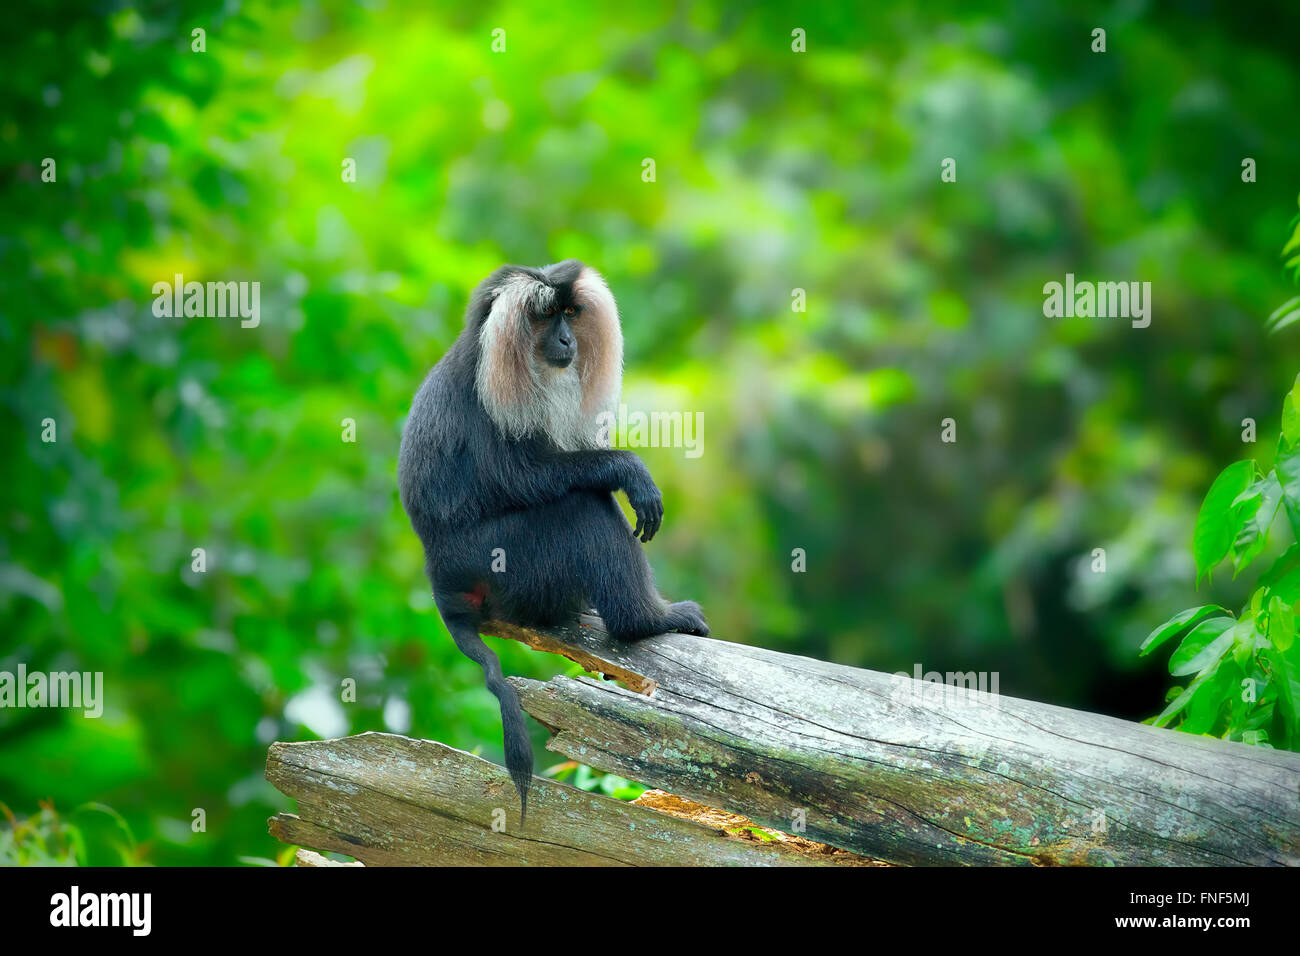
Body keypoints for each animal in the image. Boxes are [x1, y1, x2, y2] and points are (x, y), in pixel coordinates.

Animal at [397, 259, 708, 825]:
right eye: (545, 317)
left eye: (570, 314)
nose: (566, 340)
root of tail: (441, 582)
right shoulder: (488, 402)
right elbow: (522, 477)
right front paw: (629, 471)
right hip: (506, 561)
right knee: (581, 507)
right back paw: (645, 621)